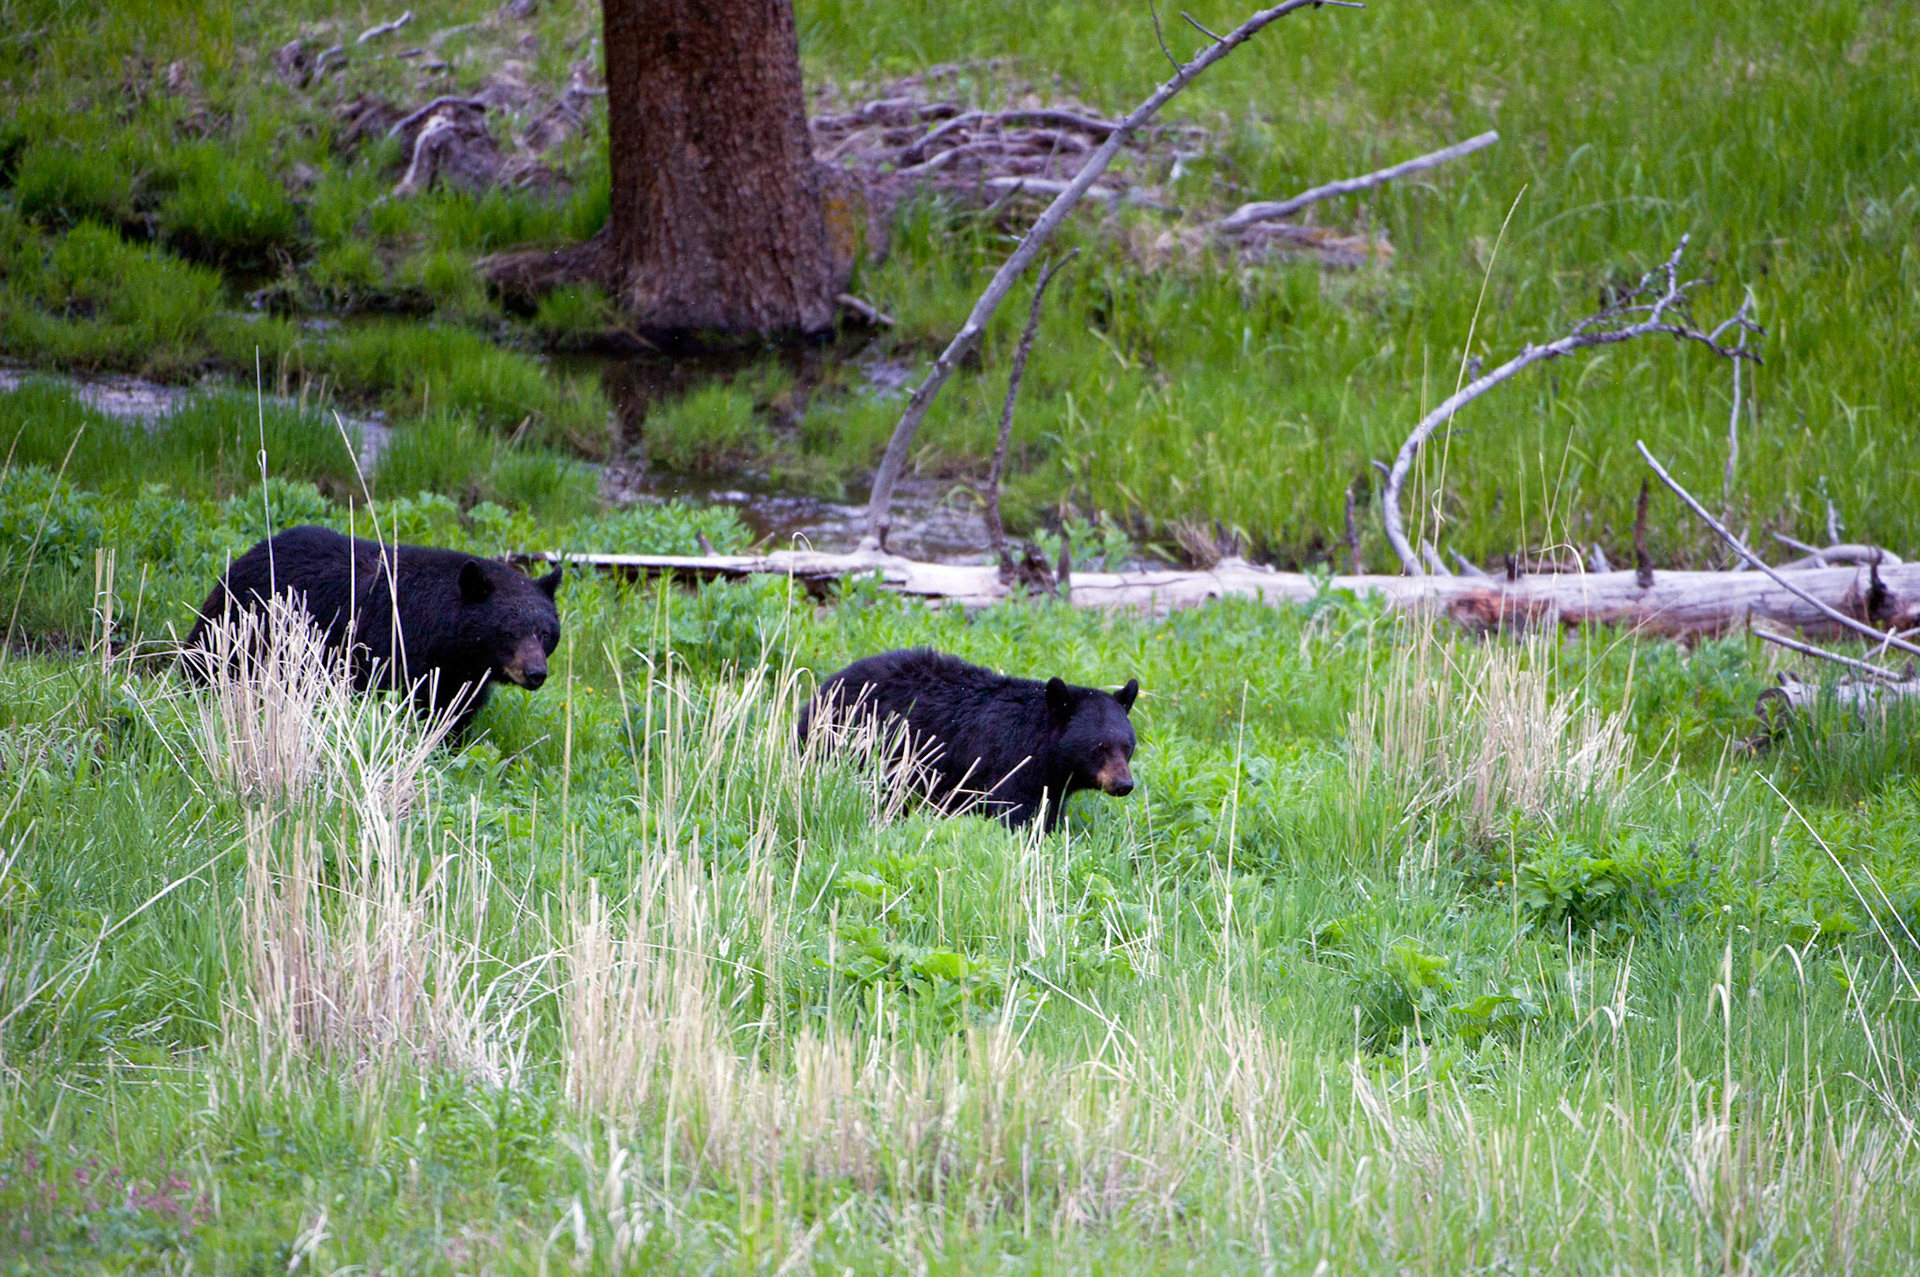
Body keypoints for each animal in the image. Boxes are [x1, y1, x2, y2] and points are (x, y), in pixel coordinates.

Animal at [184, 525, 562, 743]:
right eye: (508, 632)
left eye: (545, 633)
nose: (535, 673)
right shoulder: (392, 646)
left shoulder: (459, 674)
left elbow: (452, 711)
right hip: (241, 628)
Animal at [798, 647, 1139, 832]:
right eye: (1099, 748)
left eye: (1127, 746)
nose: (1124, 784)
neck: (1042, 751)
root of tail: (823, 688)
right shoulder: (1007, 767)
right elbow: (1013, 815)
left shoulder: (1050, 786)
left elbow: (1048, 815)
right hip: (848, 741)